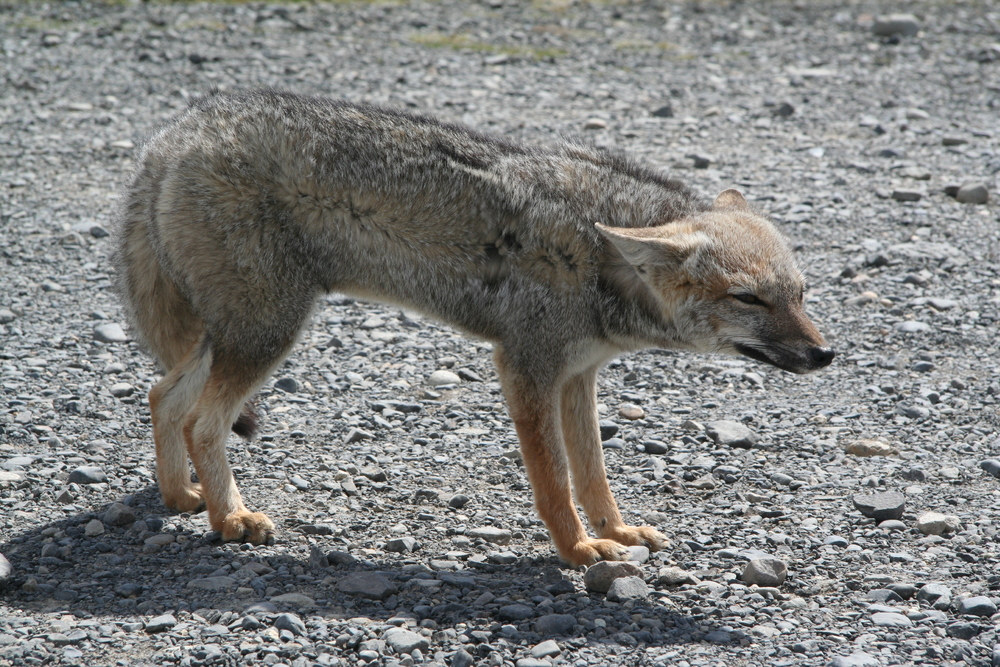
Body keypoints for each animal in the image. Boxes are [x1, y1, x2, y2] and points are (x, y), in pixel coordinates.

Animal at [115, 88, 836, 568]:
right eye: (749, 299)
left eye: (800, 294)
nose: (825, 354)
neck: (597, 251)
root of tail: (178, 132)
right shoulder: (526, 369)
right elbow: (555, 483)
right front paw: (579, 549)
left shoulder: (578, 375)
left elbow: (593, 474)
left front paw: (617, 532)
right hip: (267, 334)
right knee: (201, 420)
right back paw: (231, 517)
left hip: (236, 334)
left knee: (163, 397)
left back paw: (180, 495)